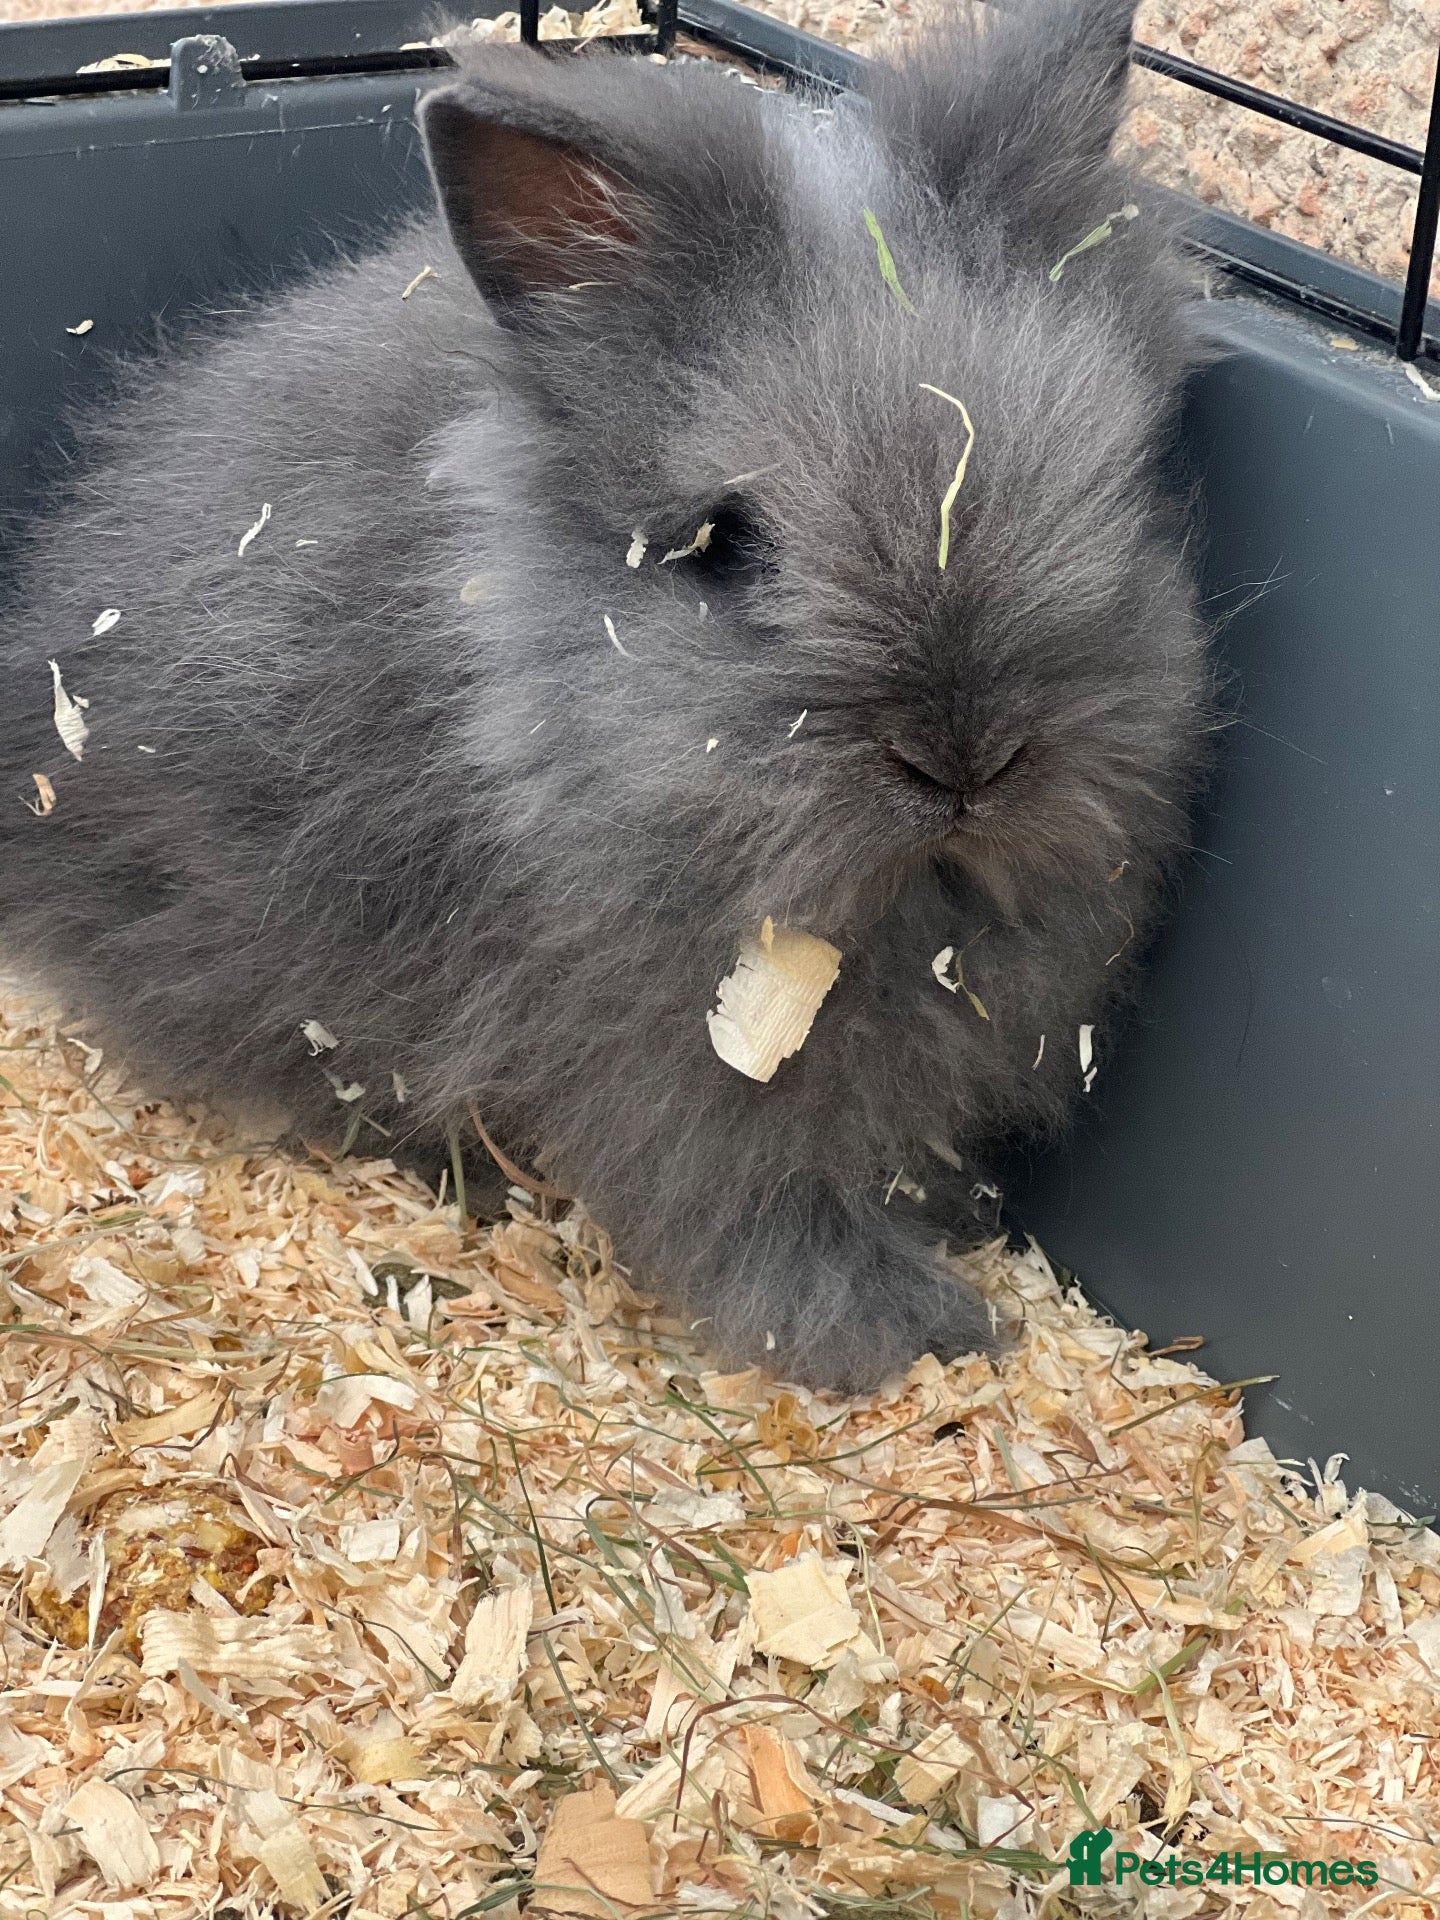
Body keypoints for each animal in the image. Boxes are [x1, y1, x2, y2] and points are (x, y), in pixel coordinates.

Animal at [0, 0, 1211, 1393]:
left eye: (1118, 489)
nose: (967, 759)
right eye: (723, 546)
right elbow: (758, 1213)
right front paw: (907, 1336)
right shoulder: (668, 1084)